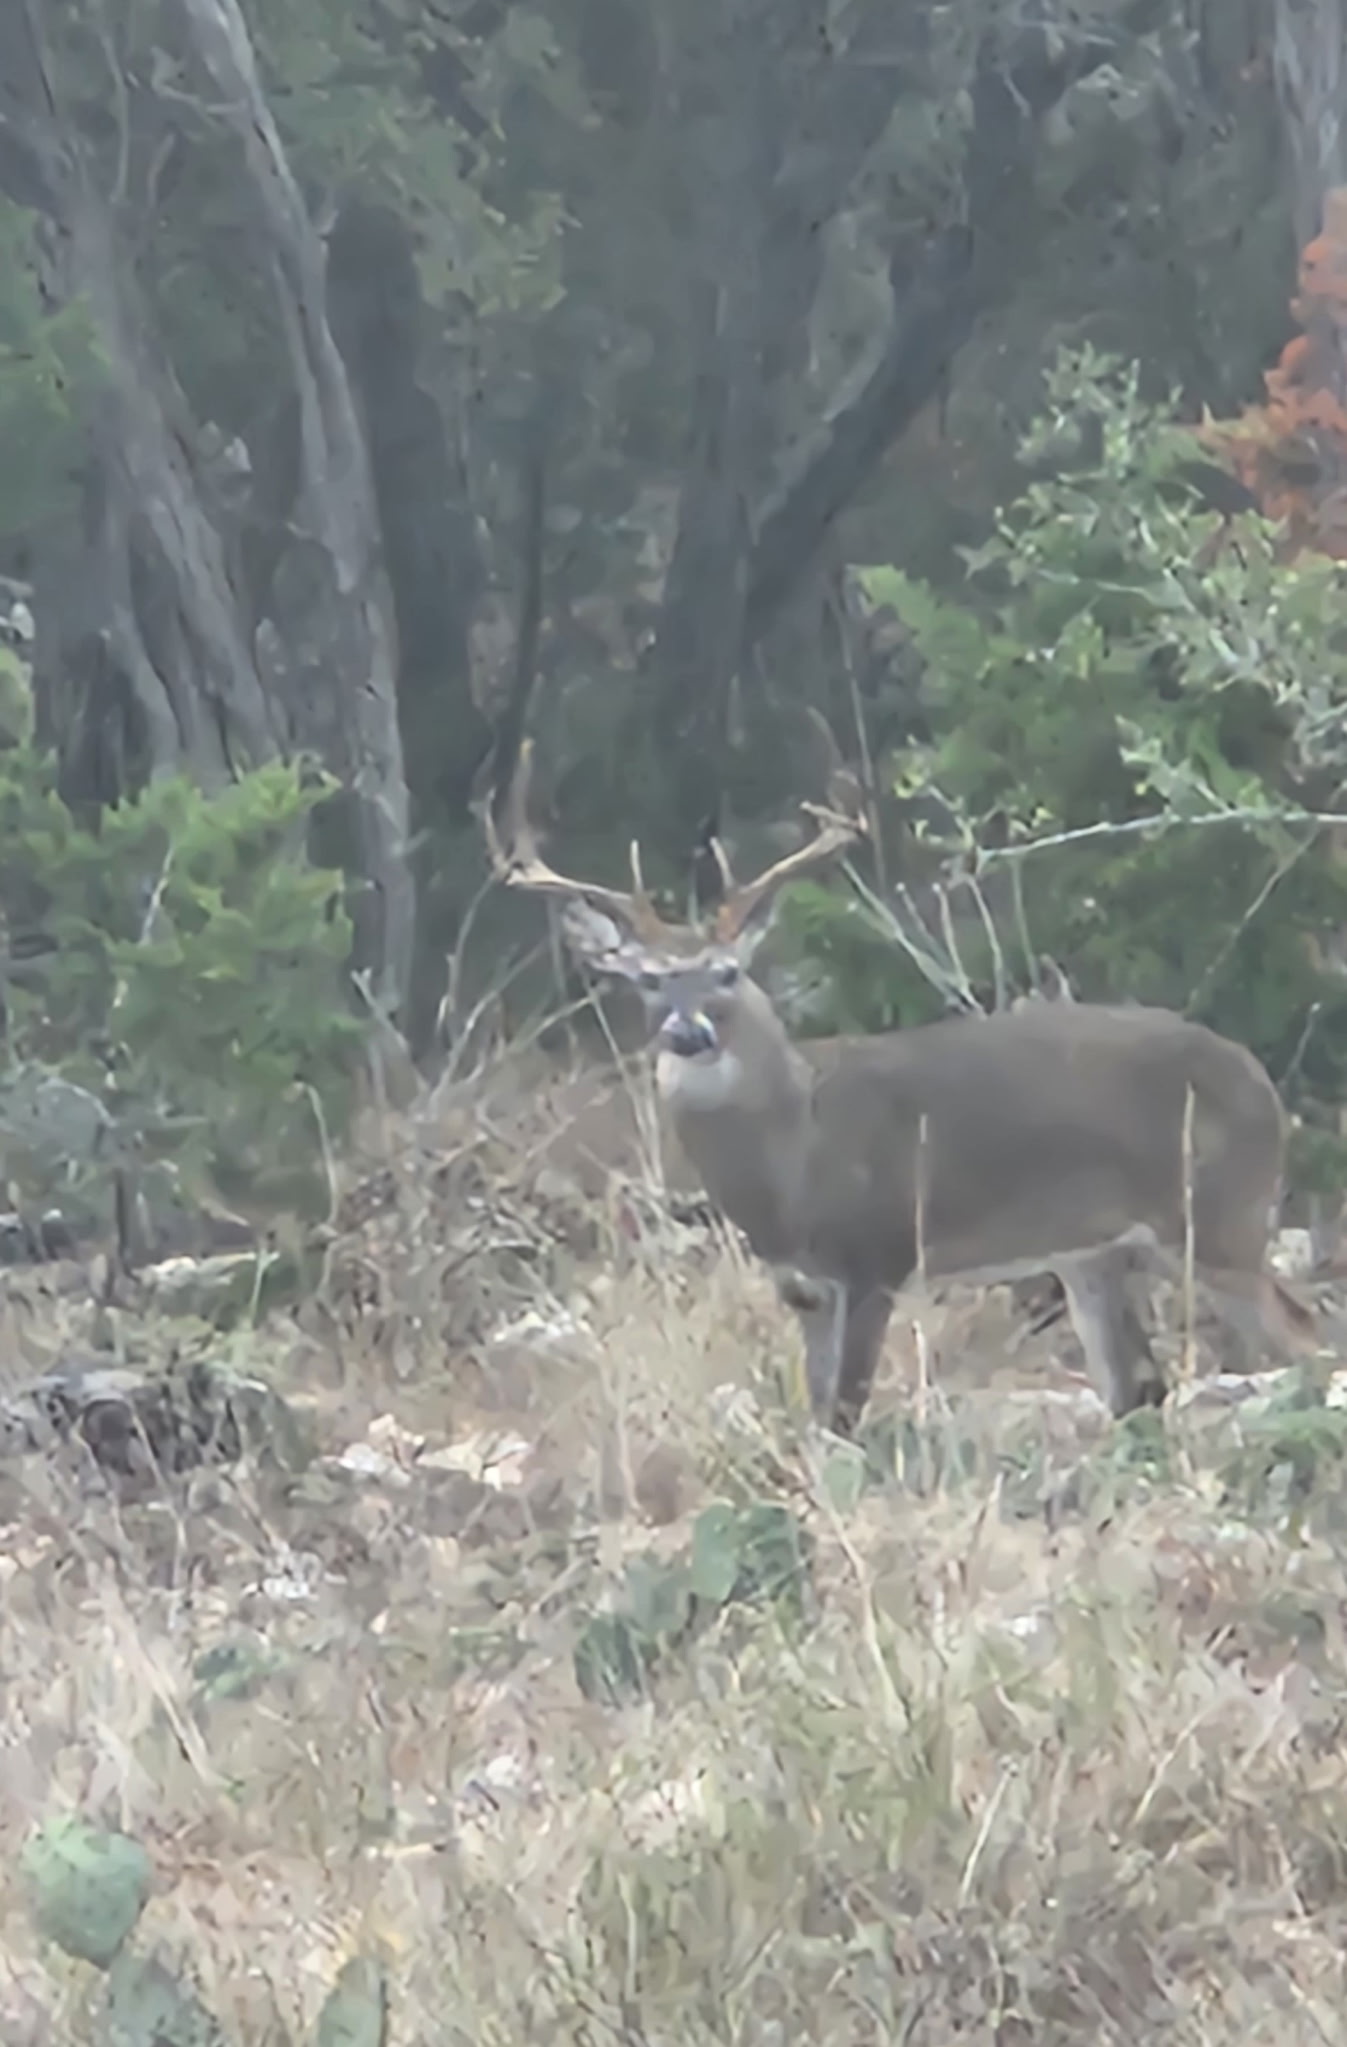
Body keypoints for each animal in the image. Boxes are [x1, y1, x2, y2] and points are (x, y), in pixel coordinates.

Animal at [481, 741, 1319, 1435]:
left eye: (726, 971)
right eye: (650, 982)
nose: (688, 1033)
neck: (794, 1152)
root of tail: (1263, 1087)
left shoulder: (875, 1254)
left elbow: (844, 1416)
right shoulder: (803, 1286)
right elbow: (815, 1417)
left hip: (1218, 1215)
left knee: (1302, 1335)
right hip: (1096, 1251)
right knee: (1137, 1385)